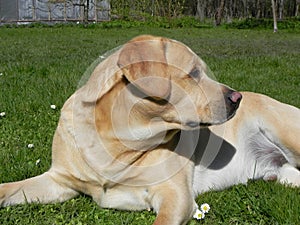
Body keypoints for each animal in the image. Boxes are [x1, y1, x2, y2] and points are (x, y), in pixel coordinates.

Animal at [0, 35, 240, 225]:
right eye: (194, 73)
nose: (237, 98)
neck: (114, 142)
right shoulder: (58, 181)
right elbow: (7, 188)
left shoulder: (175, 195)